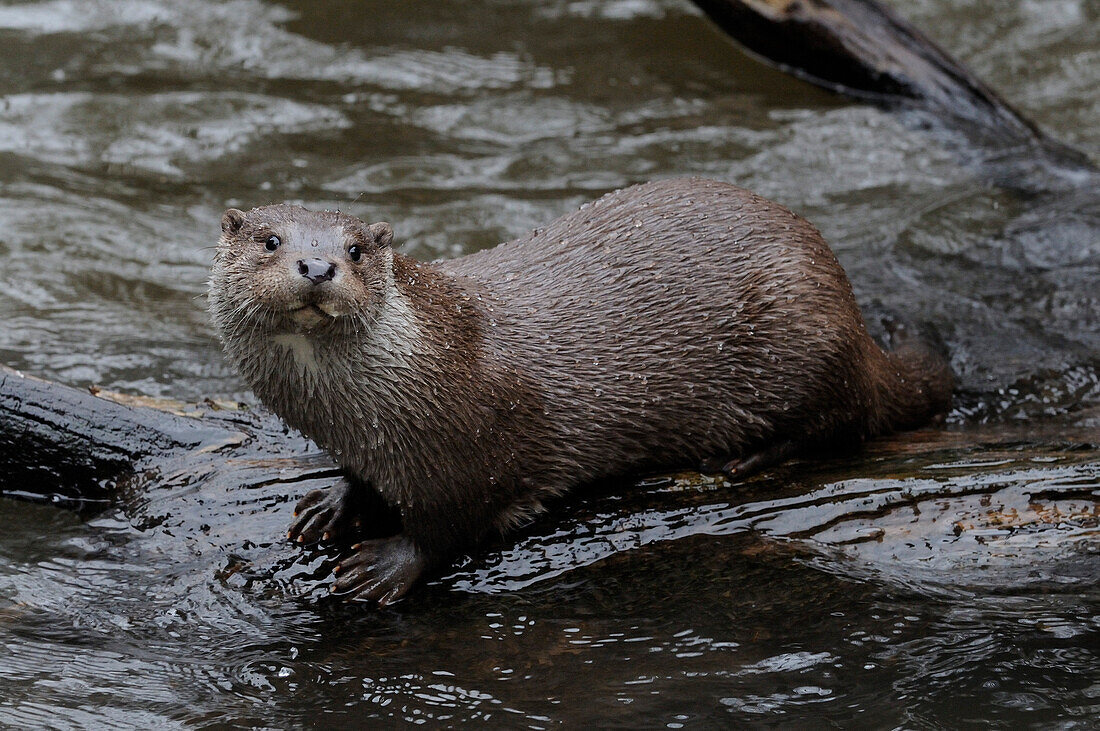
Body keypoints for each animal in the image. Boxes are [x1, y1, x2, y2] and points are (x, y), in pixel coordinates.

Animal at [207, 178, 954, 602]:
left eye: (356, 249)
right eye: (270, 240)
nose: (318, 265)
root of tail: (854, 314)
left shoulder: (473, 444)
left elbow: (452, 522)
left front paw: (388, 563)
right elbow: (363, 479)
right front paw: (333, 503)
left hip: (802, 324)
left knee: (843, 415)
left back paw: (743, 456)